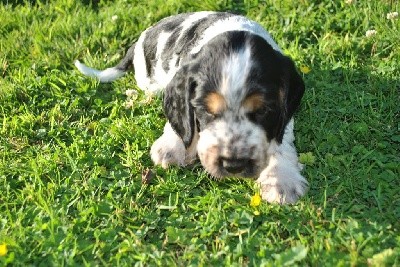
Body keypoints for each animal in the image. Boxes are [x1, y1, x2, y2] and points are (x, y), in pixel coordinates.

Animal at [75, 9, 308, 203]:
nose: (233, 166)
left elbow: (281, 142)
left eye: (263, 111)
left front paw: (281, 180)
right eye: (205, 110)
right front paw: (172, 147)